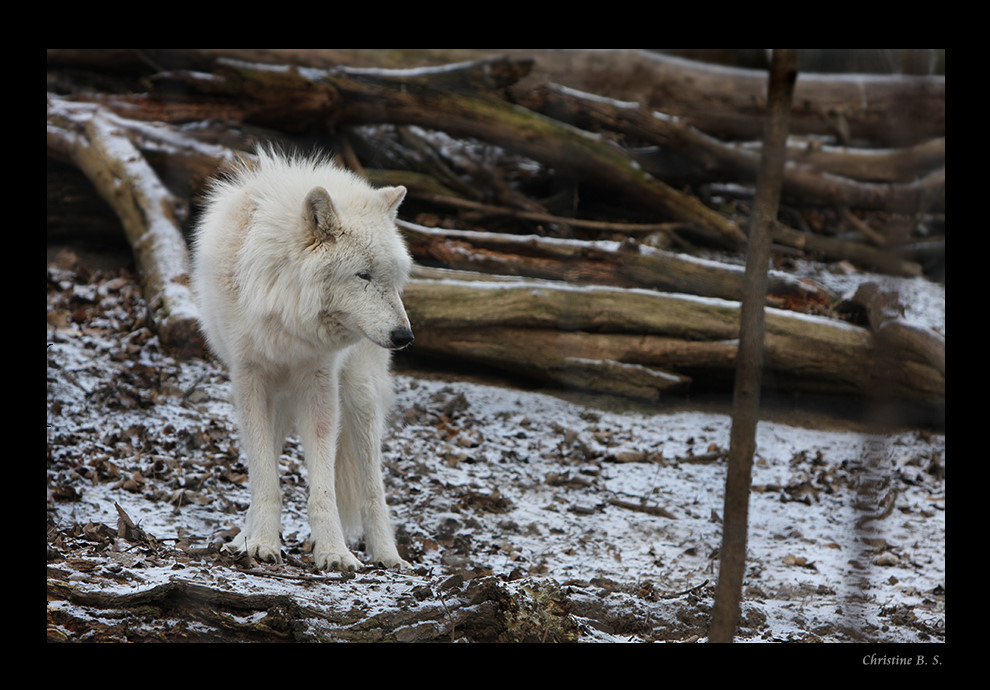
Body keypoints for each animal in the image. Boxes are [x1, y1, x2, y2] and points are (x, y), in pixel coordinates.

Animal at [194, 149, 414, 568]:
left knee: (372, 487)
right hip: (276, 398)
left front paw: (333, 552)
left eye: (391, 278)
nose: (404, 336)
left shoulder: (319, 382)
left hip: (360, 395)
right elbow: (264, 478)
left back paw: (387, 555)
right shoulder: (249, 380)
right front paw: (261, 543)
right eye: (363, 275)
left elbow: (324, 487)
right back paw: (244, 538)